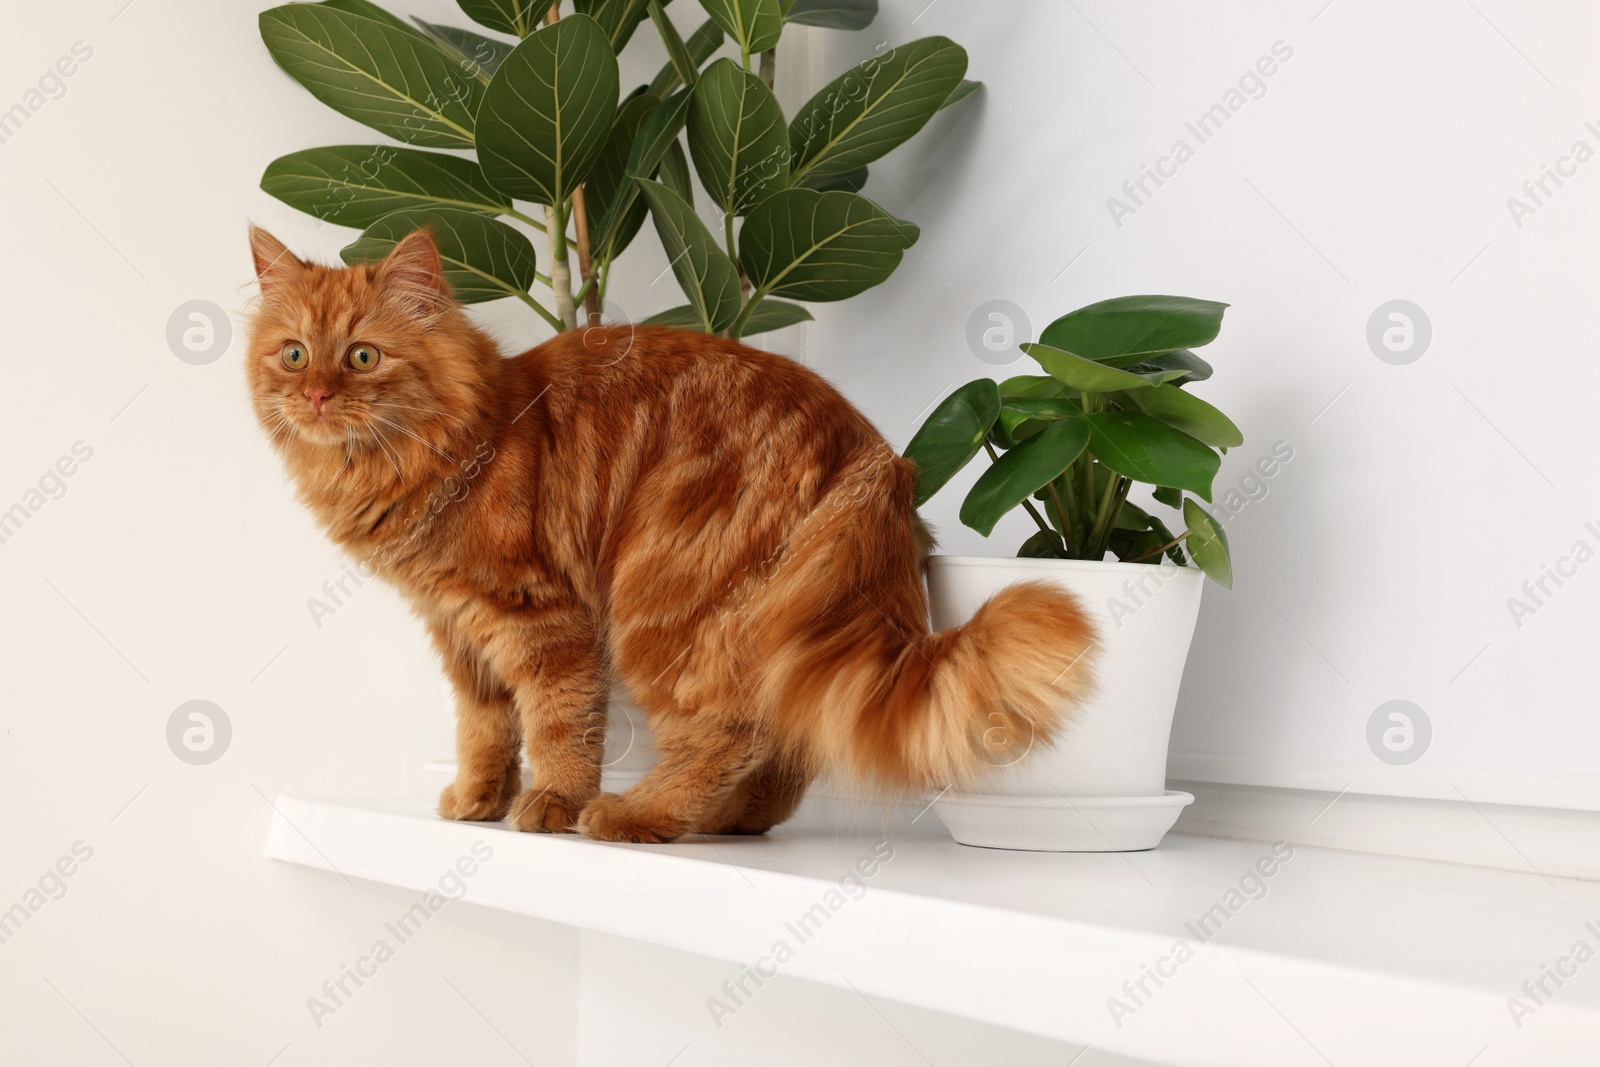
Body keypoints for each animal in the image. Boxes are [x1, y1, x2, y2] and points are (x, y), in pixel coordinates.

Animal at [246, 225, 1100, 844]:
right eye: (294, 354)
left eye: (362, 356)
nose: (315, 395)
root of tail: (877, 453)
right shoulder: (458, 631)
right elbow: (484, 728)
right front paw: (479, 799)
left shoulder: (538, 615)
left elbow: (556, 723)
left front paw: (548, 801)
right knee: (781, 742)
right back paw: (730, 821)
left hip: (663, 602)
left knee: (729, 730)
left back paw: (637, 815)